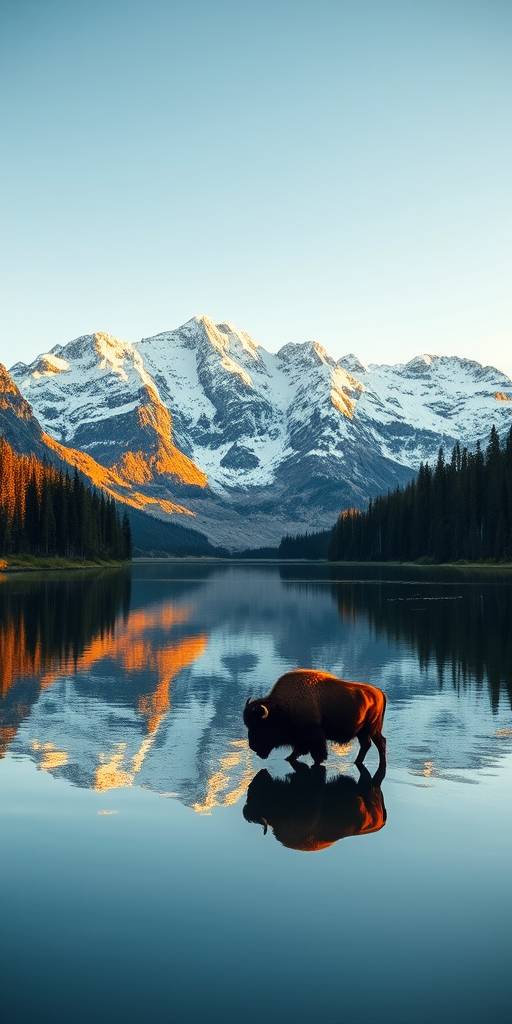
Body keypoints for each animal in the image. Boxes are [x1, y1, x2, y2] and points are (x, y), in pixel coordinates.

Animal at [243, 669, 387, 769]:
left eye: (260, 725)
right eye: (248, 725)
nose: (253, 746)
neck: (283, 707)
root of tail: (379, 693)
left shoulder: (314, 734)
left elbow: (317, 754)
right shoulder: (300, 739)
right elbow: (298, 751)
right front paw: (288, 758)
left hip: (371, 729)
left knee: (379, 743)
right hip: (363, 731)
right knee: (368, 744)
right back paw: (358, 762)